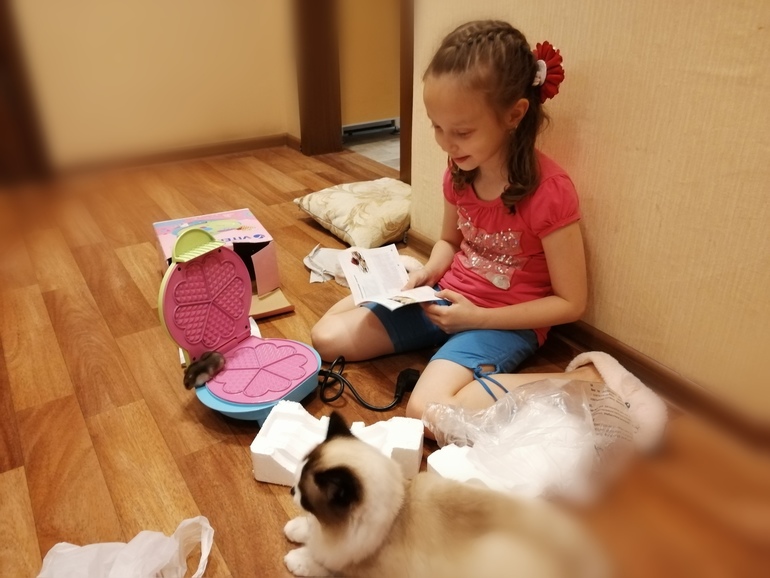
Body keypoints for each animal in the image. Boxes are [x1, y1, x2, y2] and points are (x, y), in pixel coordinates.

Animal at [283, 411, 610, 578]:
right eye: (295, 479)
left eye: (303, 492)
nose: (290, 490)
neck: (395, 516)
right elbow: (308, 532)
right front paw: (296, 529)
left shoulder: (356, 569)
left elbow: (321, 563)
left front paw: (296, 560)